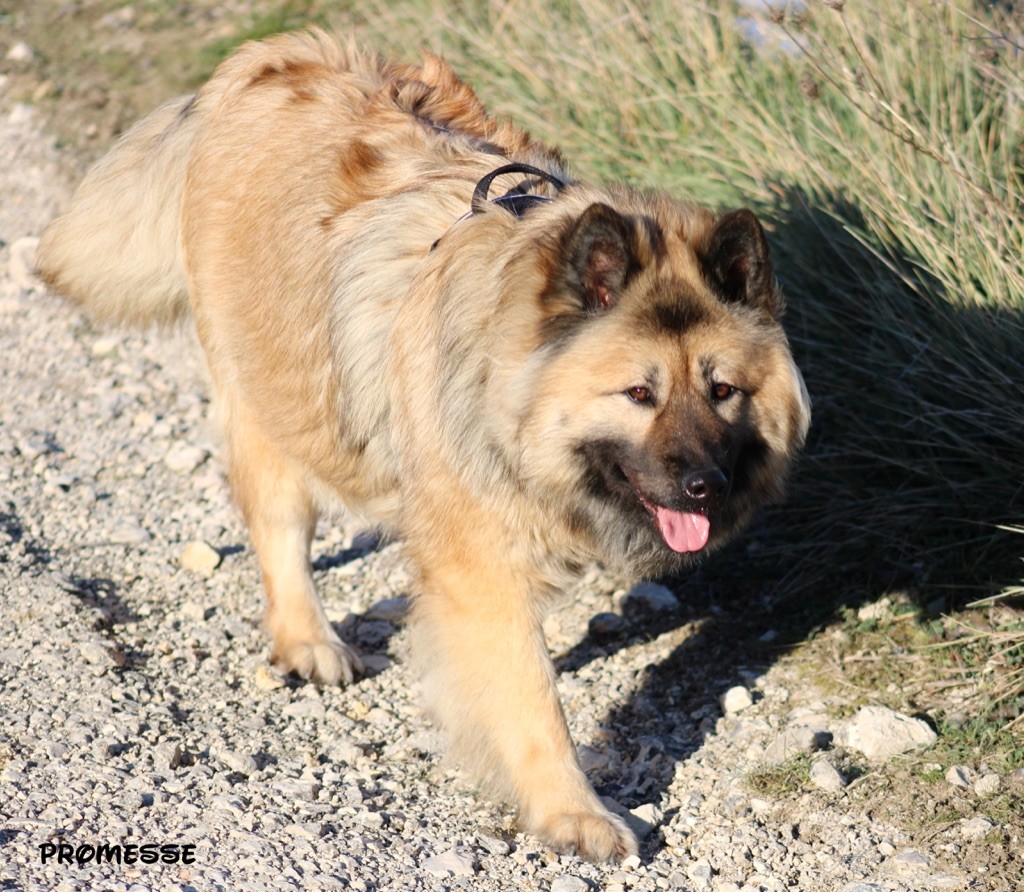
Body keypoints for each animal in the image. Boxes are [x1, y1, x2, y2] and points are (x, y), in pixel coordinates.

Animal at [36, 31, 811, 860]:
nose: (706, 486)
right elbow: (533, 702)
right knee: (280, 523)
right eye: (639, 394)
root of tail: (264, 56)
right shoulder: (483, 574)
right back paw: (309, 640)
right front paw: (575, 815)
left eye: (723, 390)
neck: (507, 384)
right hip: (278, 391)